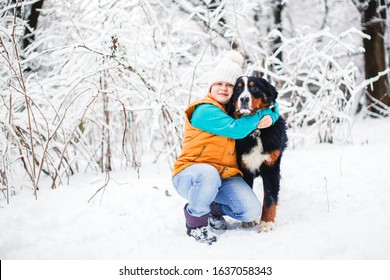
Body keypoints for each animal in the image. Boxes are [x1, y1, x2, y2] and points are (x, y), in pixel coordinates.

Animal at [229, 75, 286, 233]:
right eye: (238, 89)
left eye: (254, 88)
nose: (244, 99)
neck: (255, 131)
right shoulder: (245, 169)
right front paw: (249, 221)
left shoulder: (271, 168)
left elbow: (270, 198)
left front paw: (266, 223)